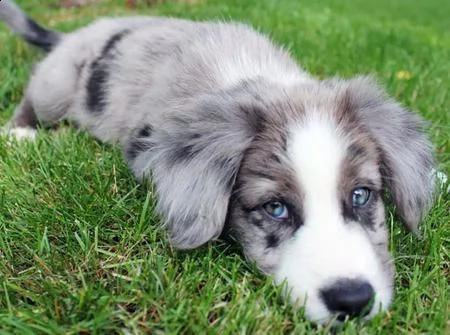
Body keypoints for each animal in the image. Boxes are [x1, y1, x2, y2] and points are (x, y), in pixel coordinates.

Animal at [0, 0, 436, 326]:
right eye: (275, 208)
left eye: (361, 196)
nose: (353, 300)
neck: (255, 81)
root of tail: (76, 33)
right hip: (55, 85)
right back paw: (20, 133)